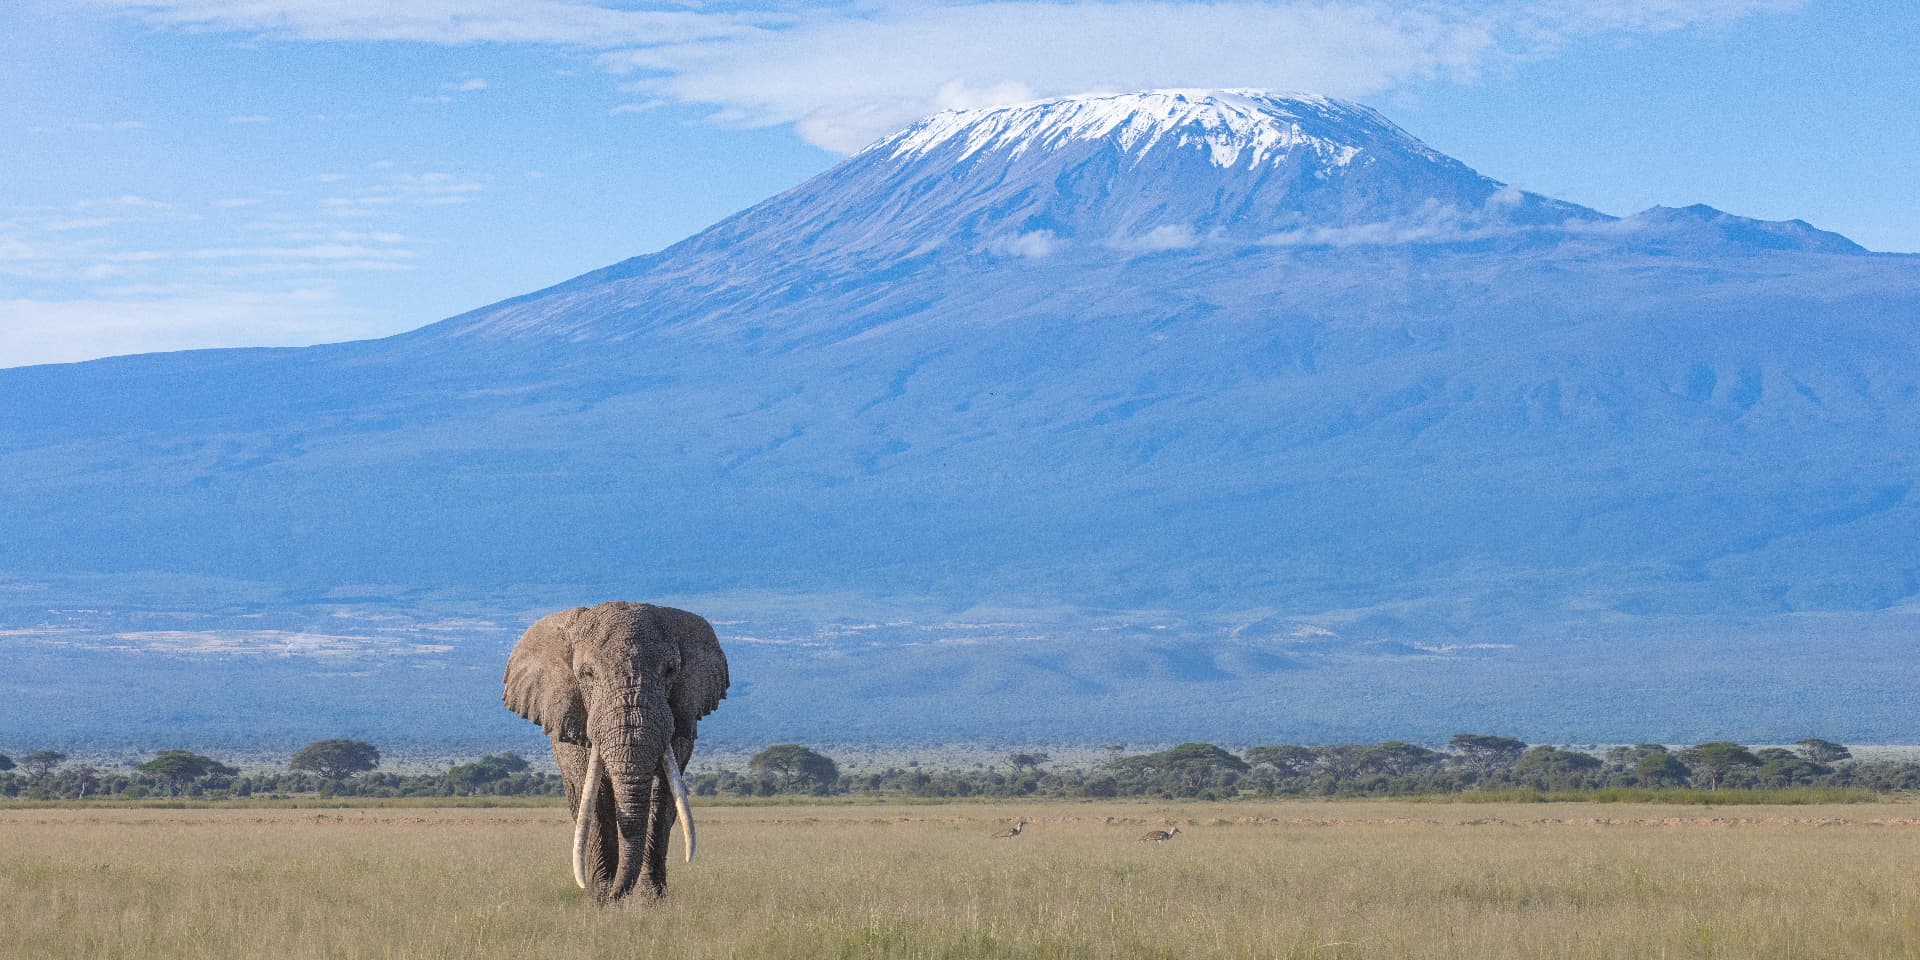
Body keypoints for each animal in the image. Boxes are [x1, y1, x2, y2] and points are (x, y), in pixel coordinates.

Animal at [503, 601, 729, 902]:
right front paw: (602, 902)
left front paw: (649, 903)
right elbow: (594, 800)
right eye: (587, 674)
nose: (616, 895)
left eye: (670, 671)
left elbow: (661, 796)